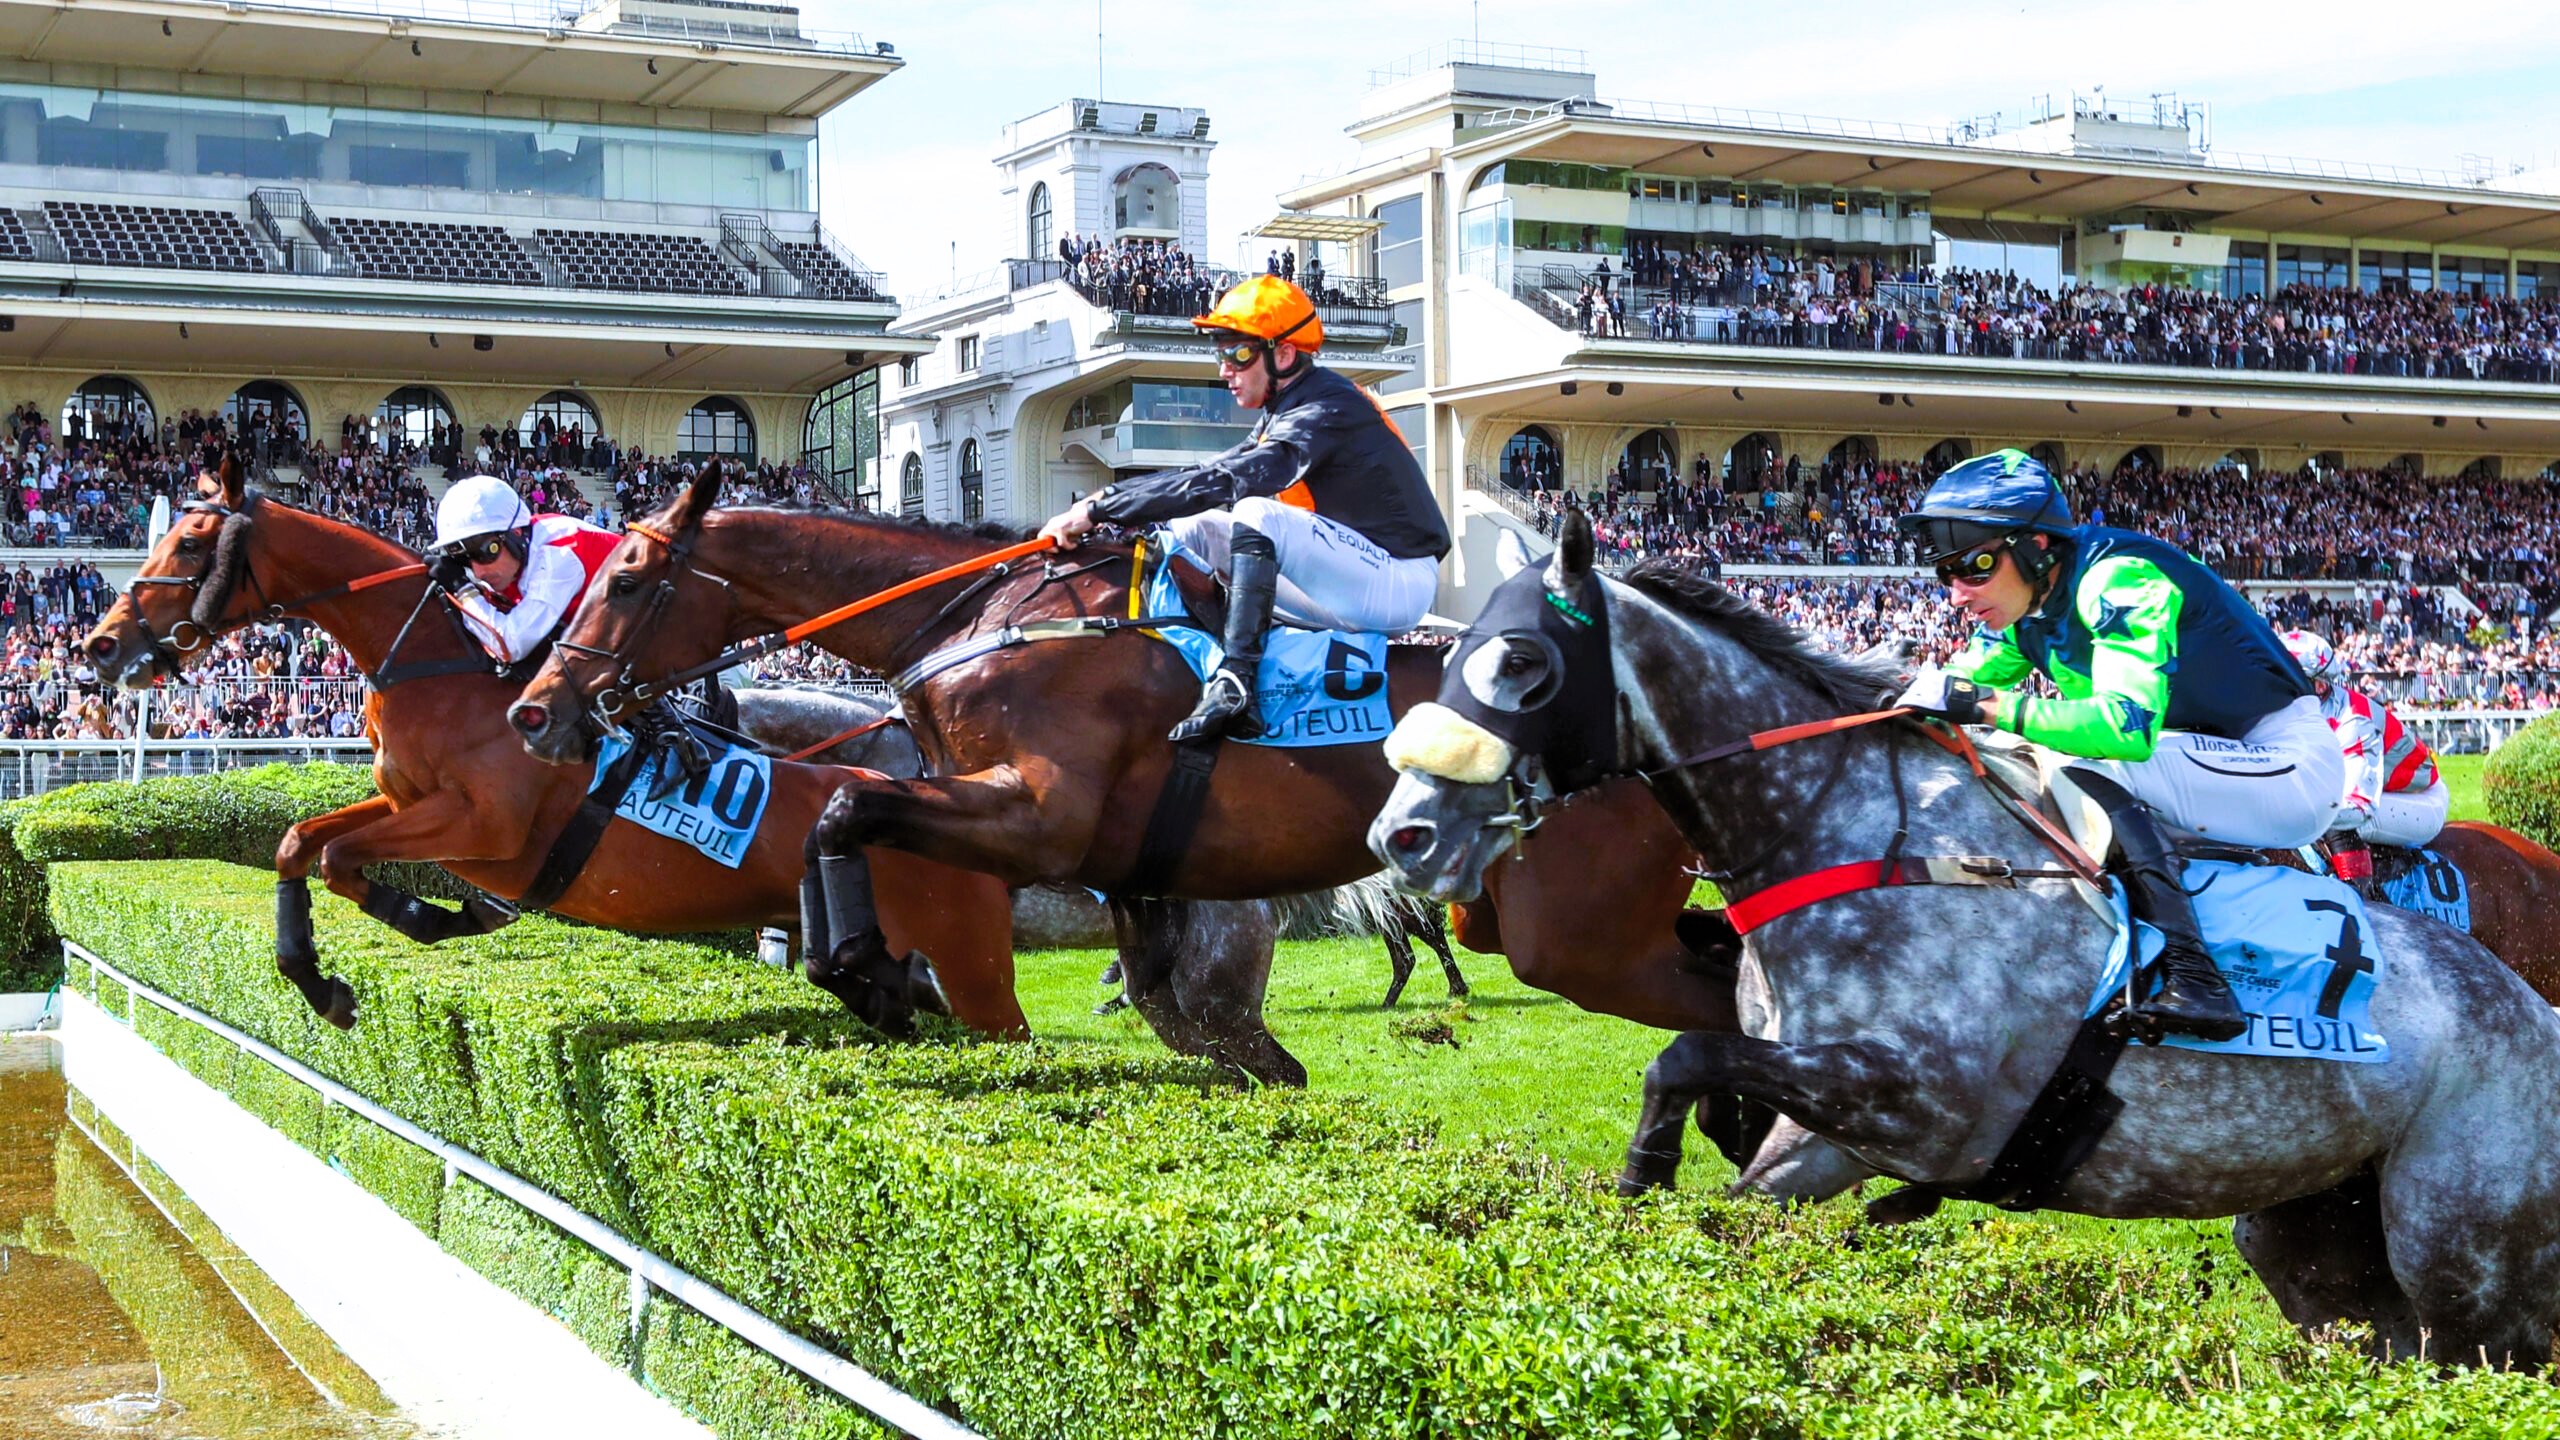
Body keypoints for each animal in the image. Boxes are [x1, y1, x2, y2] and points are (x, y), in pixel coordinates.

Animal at [82, 466, 1018, 1035]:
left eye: (191, 544)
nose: (99, 644)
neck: (444, 668)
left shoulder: (482, 826)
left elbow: (344, 859)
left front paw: (435, 917)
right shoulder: (403, 800)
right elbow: (297, 843)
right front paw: (319, 982)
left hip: (977, 974)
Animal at [1372, 509, 2560, 1363]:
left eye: (1520, 661)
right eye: (1452, 653)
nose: (1403, 834)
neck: (1850, 830)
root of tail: (2529, 1013)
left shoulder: (1926, 1100)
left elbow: (1685, 1053)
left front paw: (1643, 1172)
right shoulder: (1831, 1135)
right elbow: (1731, 1169)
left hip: (2462, 1259)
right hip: (2314, 1242)